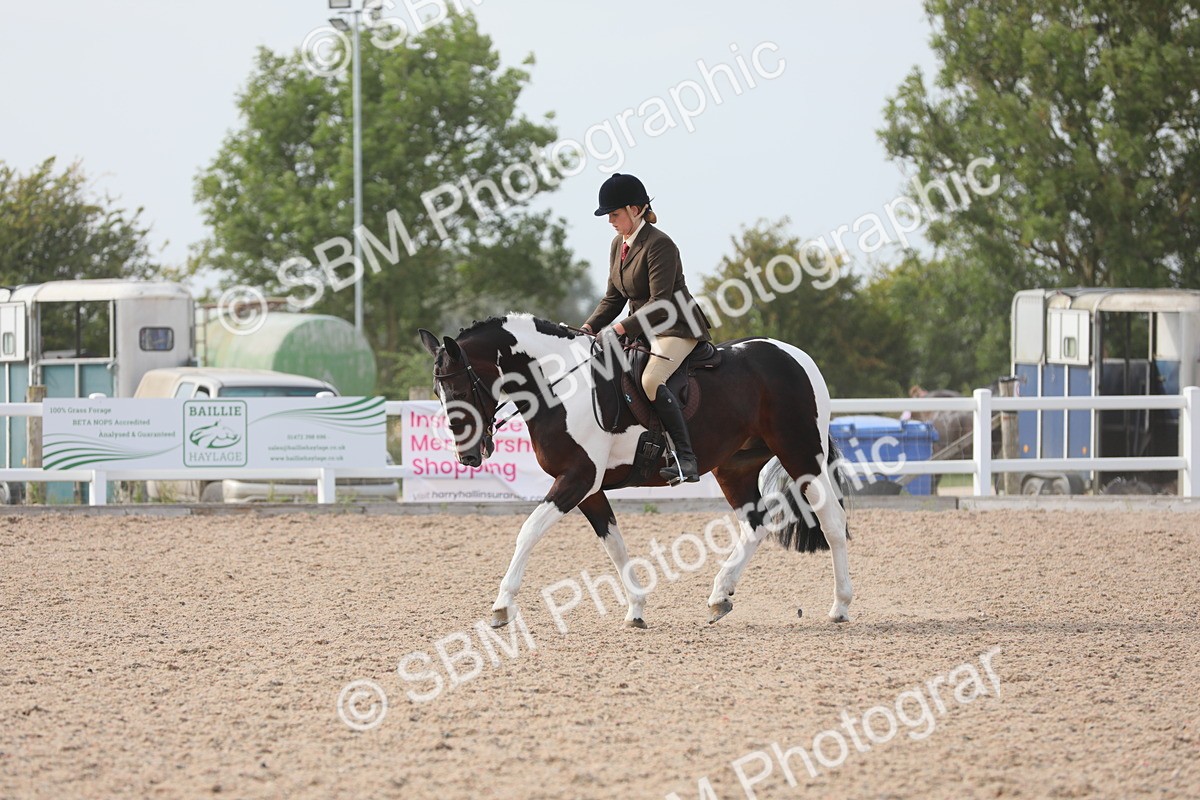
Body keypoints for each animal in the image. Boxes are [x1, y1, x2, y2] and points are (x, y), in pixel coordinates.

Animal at [418, 314, 852, 629]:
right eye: (438, 392)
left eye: (458, 390)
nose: (468, 457)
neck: (560, 386)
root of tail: (795, 355)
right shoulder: (589, 488)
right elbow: (614, 544)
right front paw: (636, 609)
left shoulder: (576, 479)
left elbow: (528, 531)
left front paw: (501, 606)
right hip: (735, 467)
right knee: (756, 524)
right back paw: (719, 597)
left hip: (802, 453)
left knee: (831, 520)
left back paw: (840, 606)